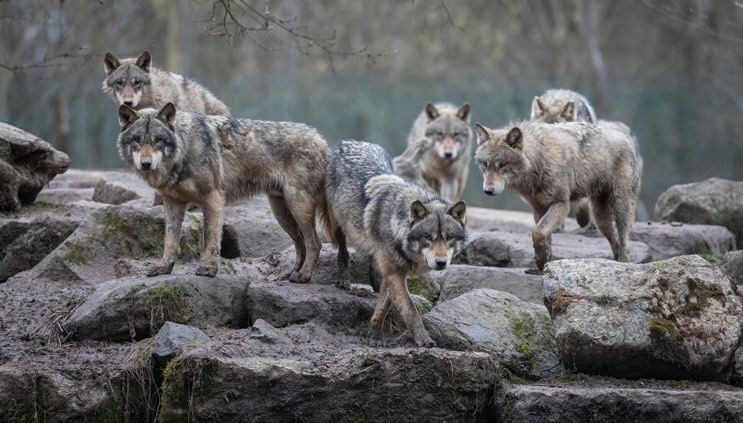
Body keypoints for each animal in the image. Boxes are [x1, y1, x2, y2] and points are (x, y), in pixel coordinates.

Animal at [117, 102, 332, 282]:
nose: (146, 164)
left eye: (158, 140)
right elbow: (170, 240)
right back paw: (292, 274)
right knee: (301, 244)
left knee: (314, 243)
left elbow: (210, 237)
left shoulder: (213, 197)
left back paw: (303, 276)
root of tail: (322, 140)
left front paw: (208, 269)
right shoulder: (172, 202)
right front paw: (164, 268)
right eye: (137, 140)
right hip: (281, 213)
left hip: (298, 206)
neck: (185, 149)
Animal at [328, 141, 468, 346]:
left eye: (449, 237)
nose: (441, 262)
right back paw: (344, 279)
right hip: (337, 224)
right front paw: (423, 339)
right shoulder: (395, 272)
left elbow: (384, 305)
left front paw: (374, 334)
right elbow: (411, 310)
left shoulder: (393, 272)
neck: (397, 225)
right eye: (428, 237)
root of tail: (350, 142)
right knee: (342, 251)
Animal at [476, 121, 640, 274]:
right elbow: (544, 236)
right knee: (614, 239)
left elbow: (538, 232)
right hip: (600, 218)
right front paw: (543, 266)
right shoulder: (538, 207)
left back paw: (624, 263)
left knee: (624, 238)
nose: (488, 190)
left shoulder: (561, 203)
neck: (539, 158)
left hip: (619, 206)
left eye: (502, 165)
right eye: (485, 164)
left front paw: (542, 262)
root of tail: (624, 135)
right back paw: (616, 261)